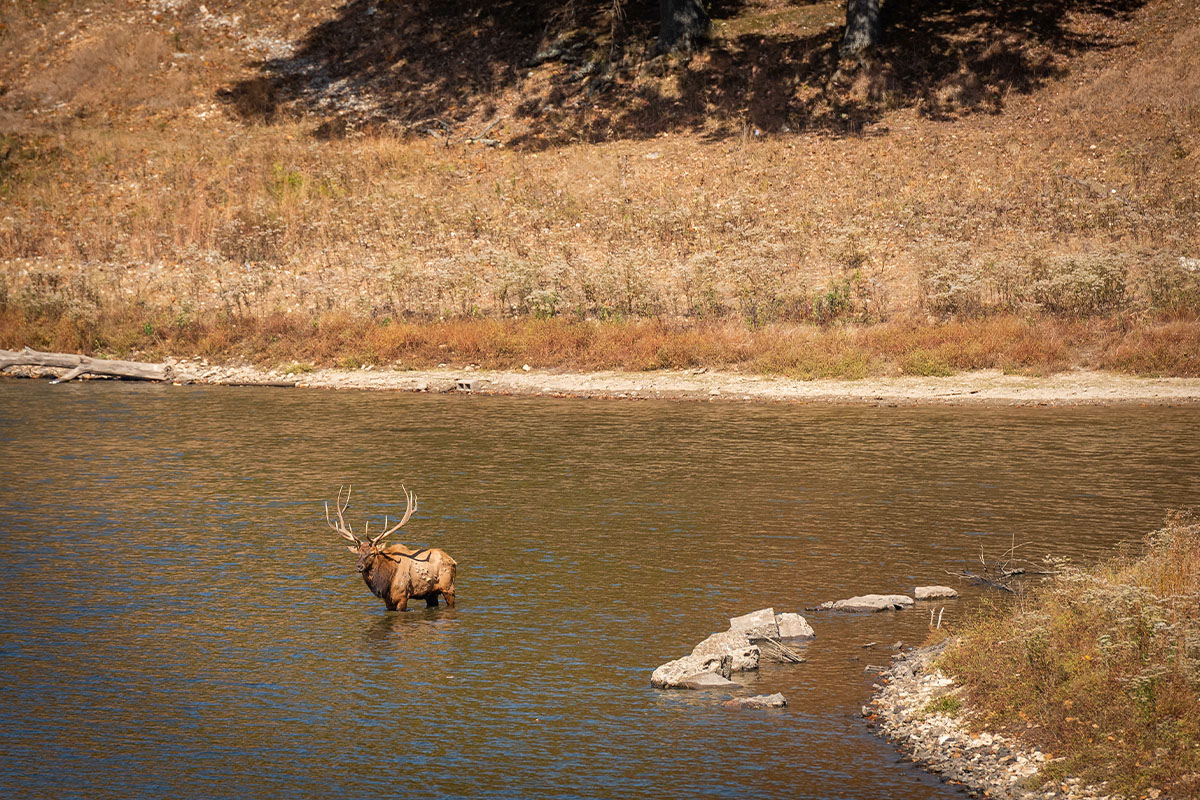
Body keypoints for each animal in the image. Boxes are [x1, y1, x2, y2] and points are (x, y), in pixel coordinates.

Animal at [326, 484, 456, 609]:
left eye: (373, 553)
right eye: (358, 553)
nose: (359, 566)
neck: (384, 583)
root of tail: (453, 561)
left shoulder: (402, 596)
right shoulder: (388, 600)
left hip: (448, 587)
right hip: (430, 594)